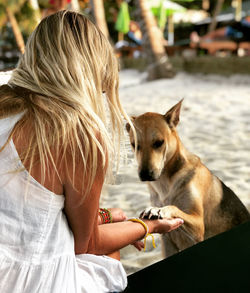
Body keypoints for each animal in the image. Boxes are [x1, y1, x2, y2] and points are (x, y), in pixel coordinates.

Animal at [126, 100, 250, 256]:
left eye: (159, 142)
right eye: (134, 145)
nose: (145, 174)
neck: (165, 182)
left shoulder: (197, 225)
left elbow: (174, 207)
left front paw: (158, 210)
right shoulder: (167, 241)